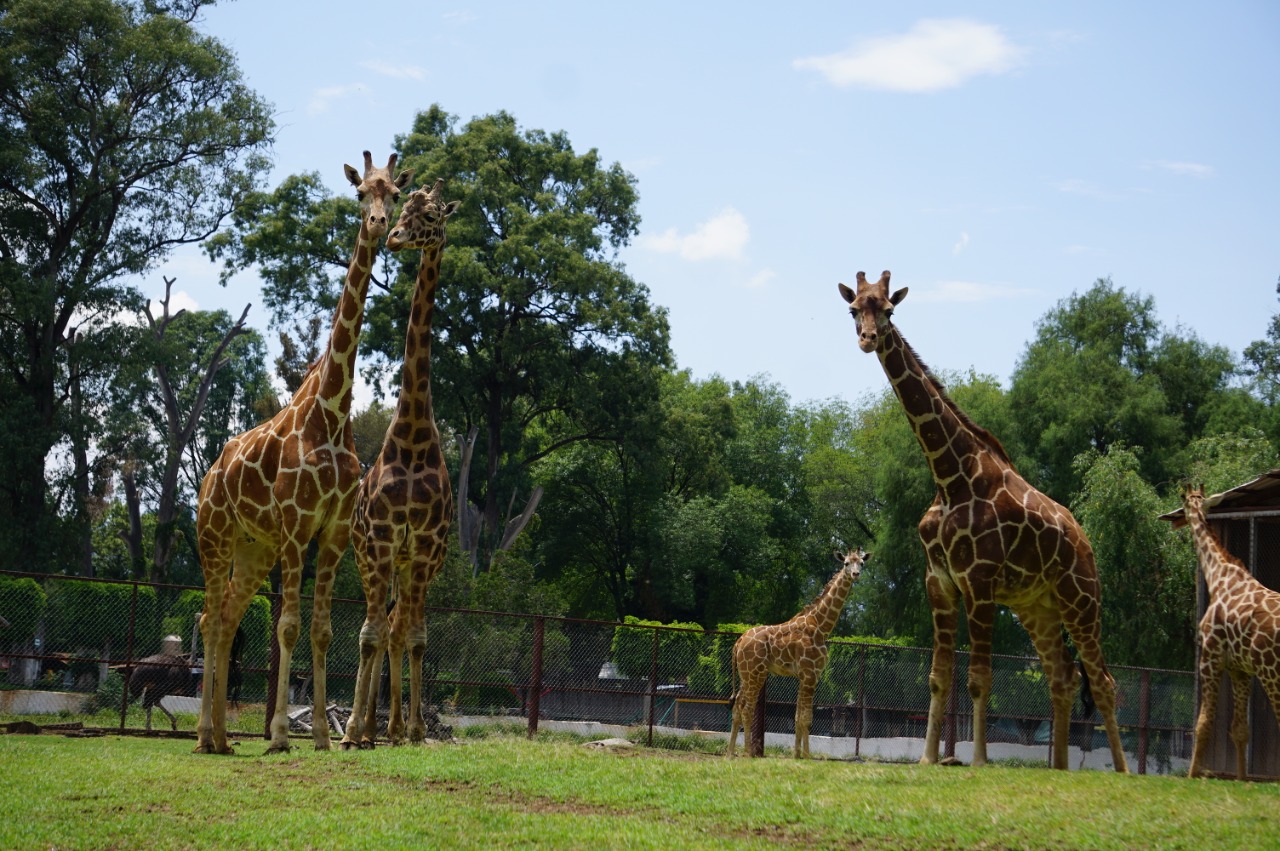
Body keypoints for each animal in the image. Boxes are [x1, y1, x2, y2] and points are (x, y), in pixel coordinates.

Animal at [194, 152, 412, 755]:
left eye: (394, 194)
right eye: (360, 193)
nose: (377, 225)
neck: (331, 414)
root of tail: (208, 476)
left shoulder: (331, 530)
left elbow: (321, 629)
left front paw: (318, 734)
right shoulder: (296, 525)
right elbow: (287, 625)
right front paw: (277, 735)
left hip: (254, 549)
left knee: (226, 616)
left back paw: (222, 739)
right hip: (214, 537)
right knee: (208, 618)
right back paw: (206, 735)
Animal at [726, 548, 868, 759]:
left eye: (861, 563)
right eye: (846, 563)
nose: (856, 574)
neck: (821, 626)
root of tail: (739, 642)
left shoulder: (804, 675)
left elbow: (797, 716)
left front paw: (797, 754)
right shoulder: (811, 674)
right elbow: (807, 718)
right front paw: (808, 756)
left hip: (746, 674)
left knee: (737, 706)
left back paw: (730, 752)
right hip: (756, 673)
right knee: (747, 709)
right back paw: (748, 753)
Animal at [839, 271, 1129, 772]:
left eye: (889, 310)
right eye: (854, 308)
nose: (868, 339)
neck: (949, 477)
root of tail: (1085, 540)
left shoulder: (979, 580)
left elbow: (978, 678)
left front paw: (976, 760)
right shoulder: (939, 580)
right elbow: (939, 675)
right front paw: (928, 759)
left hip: (1082, 599)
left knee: (1104, 681)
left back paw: (1124, 771)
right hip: (1038, 608)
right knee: (1063, 676)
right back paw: (1058, 767)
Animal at [1182, 484, 1280, 780]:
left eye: (1183, 499)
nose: (1183, 516)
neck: (1217, 575)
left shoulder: (1210, 657)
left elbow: (1203, 724)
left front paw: (1191, 776)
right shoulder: (1240, 669)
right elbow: (1239, 731)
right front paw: (1242, 780)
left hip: (1271, 670)